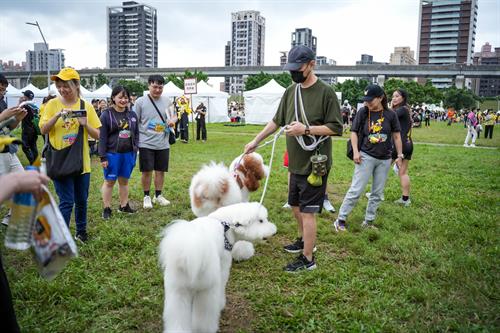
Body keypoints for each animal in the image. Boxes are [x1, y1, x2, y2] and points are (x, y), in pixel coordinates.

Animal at [159, 201, 276, 330]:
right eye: (261, 221)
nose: (274, 231)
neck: (226, 224)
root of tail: (187, 254)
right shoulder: (223, 267)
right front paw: (221, 304)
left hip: (177, 292)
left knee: (177, 319)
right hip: (206, 291)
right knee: (203, 319)